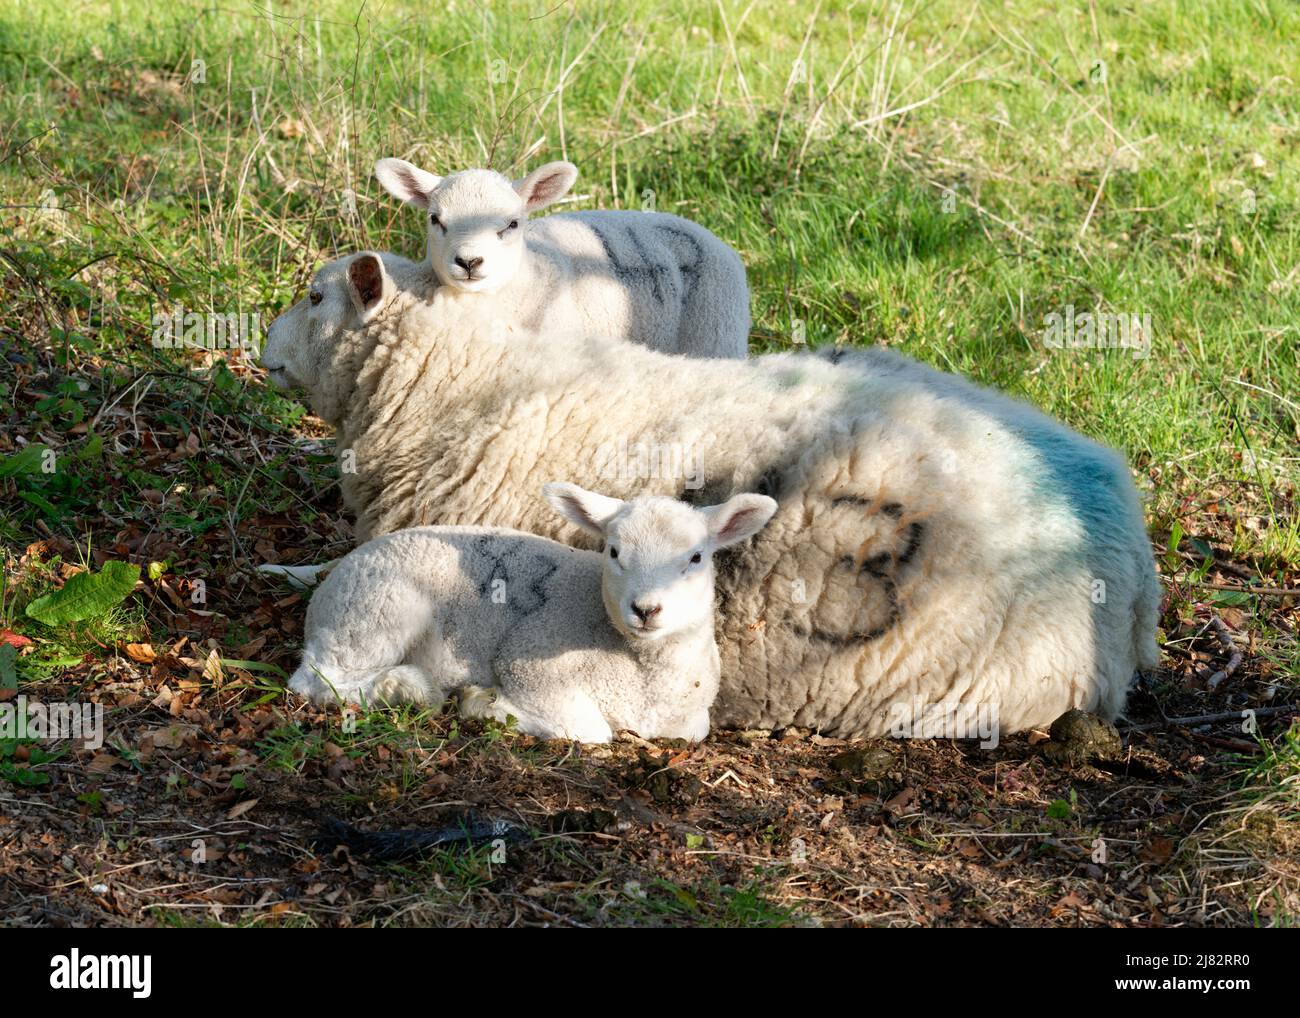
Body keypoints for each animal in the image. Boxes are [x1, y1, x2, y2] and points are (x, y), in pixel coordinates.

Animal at [288, 483, 778, 743]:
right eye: (614, 552)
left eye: (696, 557)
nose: (646, 609)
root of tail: (332, 576)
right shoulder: (530, 663)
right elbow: (591, 730)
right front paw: (482, 703)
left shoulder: (689, 721)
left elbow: (692, 730)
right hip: (378, 608)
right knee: (316, 679)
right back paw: (407, 688)